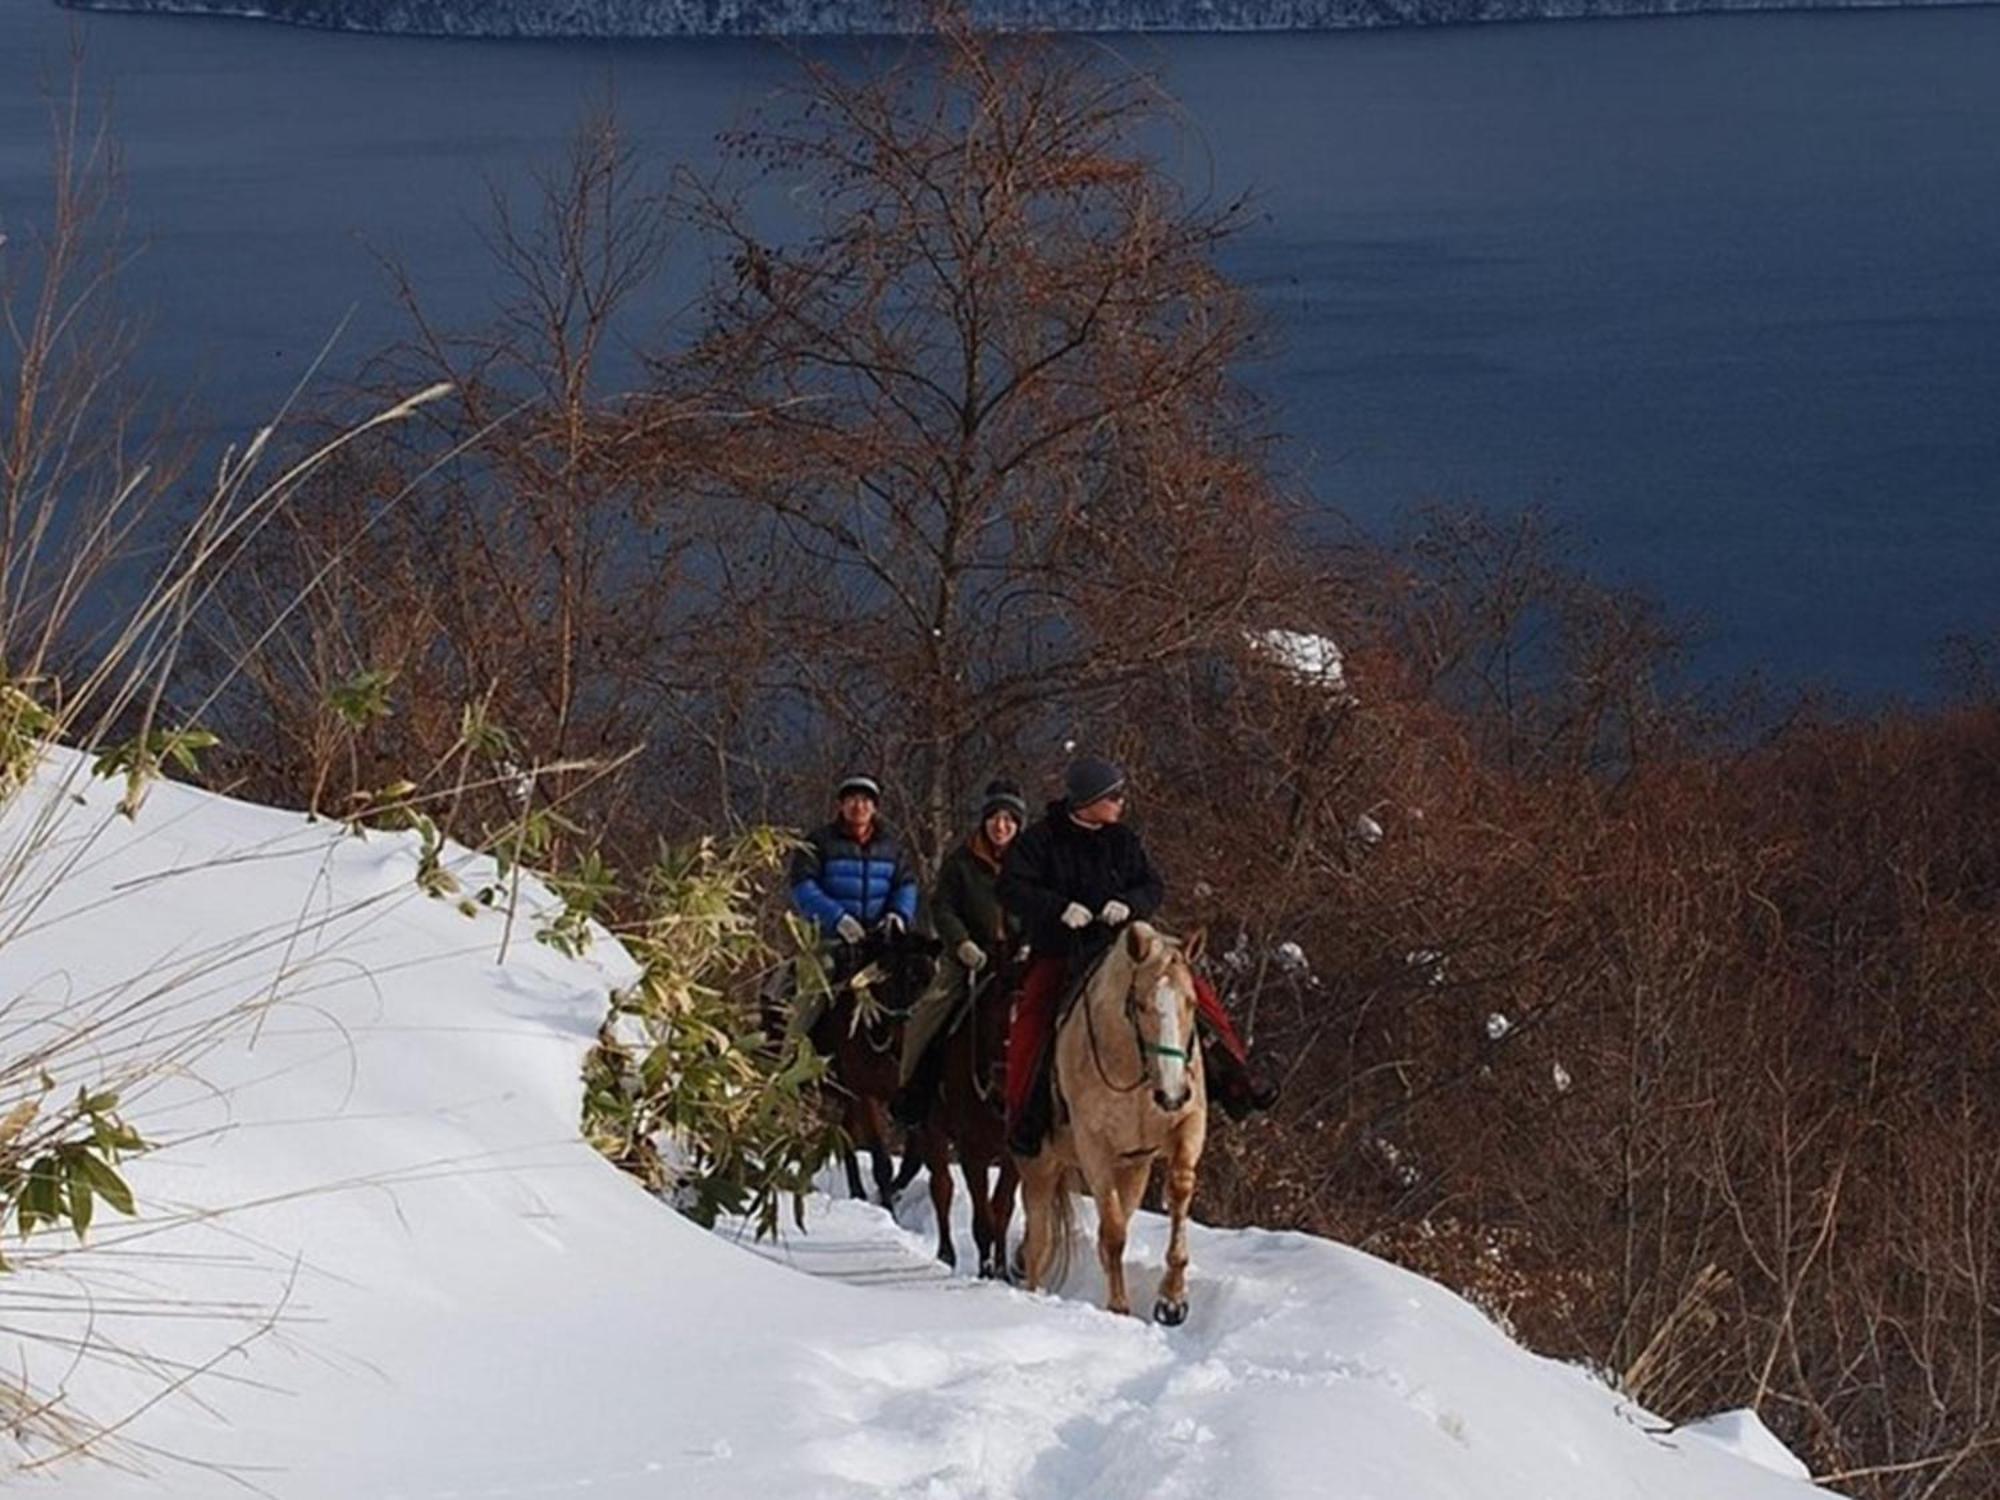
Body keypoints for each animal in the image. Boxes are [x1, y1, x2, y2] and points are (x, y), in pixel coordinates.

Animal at [808, 928, 940, 1208]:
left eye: (932, 980)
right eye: (900, 978)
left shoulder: (915, 1102)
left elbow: (913, 1160)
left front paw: (891, 1193)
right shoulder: (866, 1095)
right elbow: (882, 1161)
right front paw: (887, 1207)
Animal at [916, 964, 1024, 1280]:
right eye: (995, 1016)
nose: (1005, 1075)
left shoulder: (1014, 1158)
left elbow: (1001, 1210)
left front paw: (1001, 1270)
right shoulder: (971, 1153)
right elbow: (983, 1218)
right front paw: (986, 1271)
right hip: (933, 1133)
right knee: (942, 1188)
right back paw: (946, 1254)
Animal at [1016, 924, 1200, 1320]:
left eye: (1191, 1002)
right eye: (1141, 1004)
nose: (1172, 1094)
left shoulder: (1188, 1124)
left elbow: (1179, 1189)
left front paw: (1172, 1298)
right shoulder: (1094, 1147)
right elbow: (1114, 1231)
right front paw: (1118, 1306)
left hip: (1133, 1170)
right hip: (1039, 1167)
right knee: (1038, 1242)